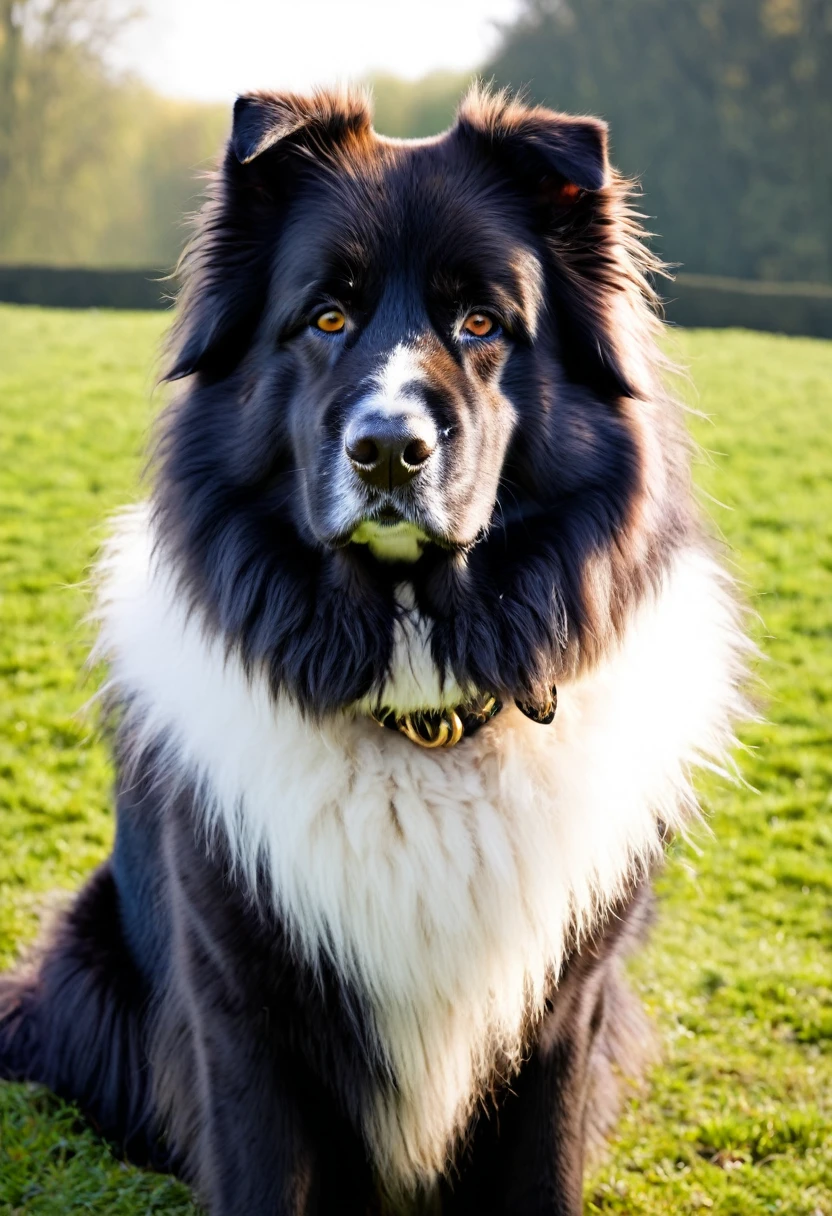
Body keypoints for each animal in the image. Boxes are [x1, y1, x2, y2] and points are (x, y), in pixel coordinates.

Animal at [0, 88, 744, 1216]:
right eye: (326, 317)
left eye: (482, 322)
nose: (390, 451)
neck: (421, 714)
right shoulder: (238, 1007)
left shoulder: (563, 1014)